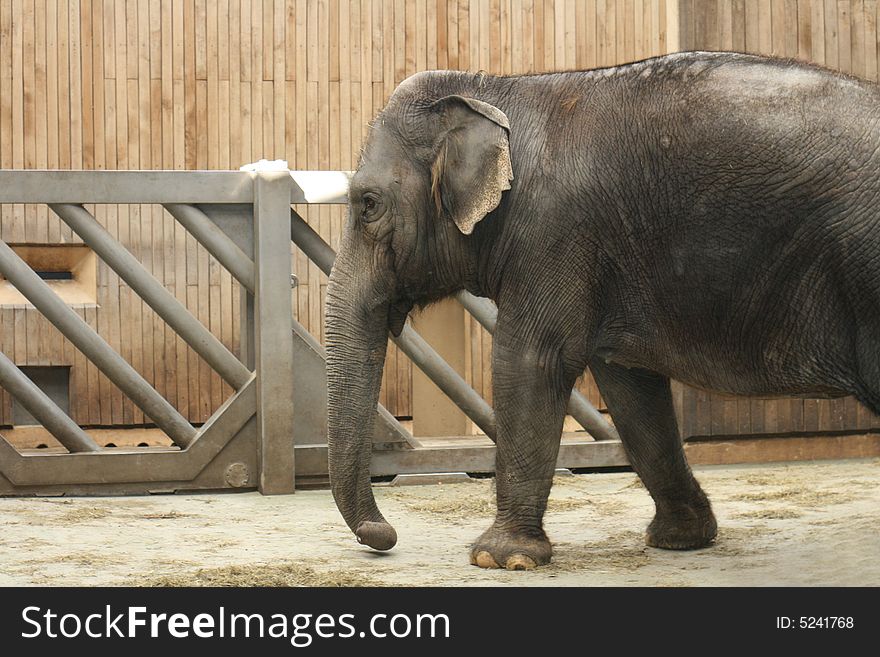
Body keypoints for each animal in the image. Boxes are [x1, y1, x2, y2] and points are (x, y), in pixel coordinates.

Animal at [324, 50, 880, 568]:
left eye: (368, 204)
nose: (384, 536)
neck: (497, 87)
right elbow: (629, 386)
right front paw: (680, 540)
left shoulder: (554, 231)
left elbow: (530, 360)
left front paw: (499, 558)